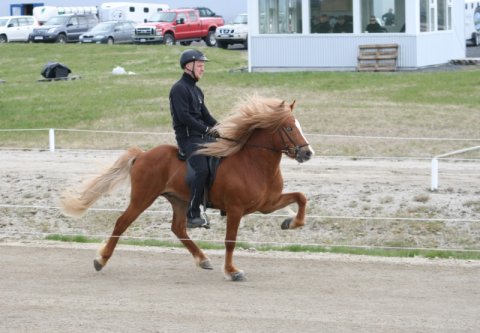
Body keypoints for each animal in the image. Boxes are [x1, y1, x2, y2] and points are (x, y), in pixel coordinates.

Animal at [61, 96, 316, 280]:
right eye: (289, 128)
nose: (307, 153)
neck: (254, 163)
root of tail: (143, 155)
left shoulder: (267, 204)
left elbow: (301, 197)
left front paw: (291, 223)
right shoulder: (236, 209)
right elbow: (230, 240)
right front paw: (232, 271)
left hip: (180, 200)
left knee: (178, 228)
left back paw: (203, 259)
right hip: (143, 198)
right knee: (122, 222)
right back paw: (101, 260)